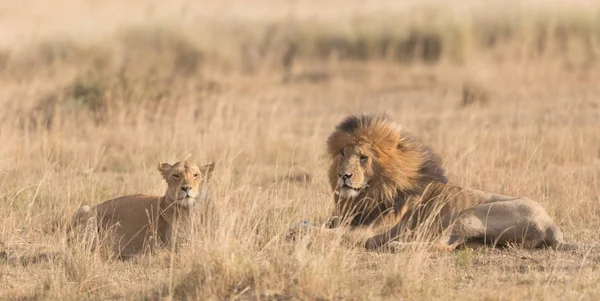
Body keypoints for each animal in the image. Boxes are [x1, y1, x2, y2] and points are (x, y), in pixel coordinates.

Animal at [69, 161, 214, 256]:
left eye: (195, 175)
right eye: (176, 175)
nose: (186, 188)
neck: (188, 210)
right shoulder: (174, 243)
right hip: (85, 209)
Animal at [298, 113, 568, 250]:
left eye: (363, 158)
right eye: (343, 154)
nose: (343, 175)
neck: (370, 194)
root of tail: (551, 223)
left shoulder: (369, 228)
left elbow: (329, 233)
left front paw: (302, 231)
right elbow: (314, 224)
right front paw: (302, 224)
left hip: (470, 213)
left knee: (442, 244)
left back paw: (396, 245)